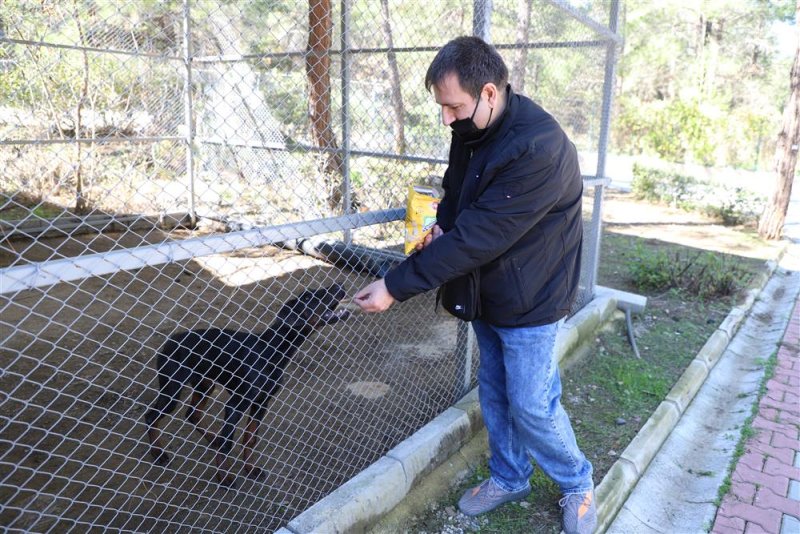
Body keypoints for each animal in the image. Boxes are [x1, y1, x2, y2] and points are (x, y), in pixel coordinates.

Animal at [145, 286, 350, 488]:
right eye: (307, 297)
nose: (340, 286)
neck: (270, 350)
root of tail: (171, 339)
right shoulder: (235, 405)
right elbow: (228, 443)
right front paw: (224, 477)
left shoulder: (262, 402)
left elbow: (250, 439)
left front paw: (250, 468)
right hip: (173, 389)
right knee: (151, 415)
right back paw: (158, 452)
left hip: (205, 385)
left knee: (192, 414)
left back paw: (213, 439)